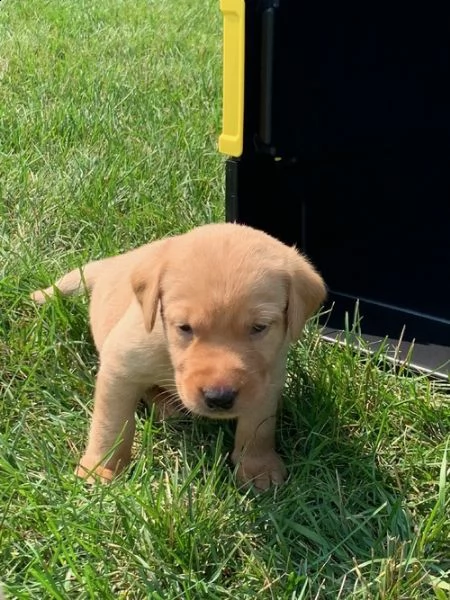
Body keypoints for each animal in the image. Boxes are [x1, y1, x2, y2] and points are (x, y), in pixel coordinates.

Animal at [31, 223, 326, 490]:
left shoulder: (268, 377)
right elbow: (110, 424)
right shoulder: (120, 365)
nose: (219, 398)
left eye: (259, 327)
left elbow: (259, 427)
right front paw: (101, 467)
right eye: (184, 327)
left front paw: (258, 468)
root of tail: (113, 264)